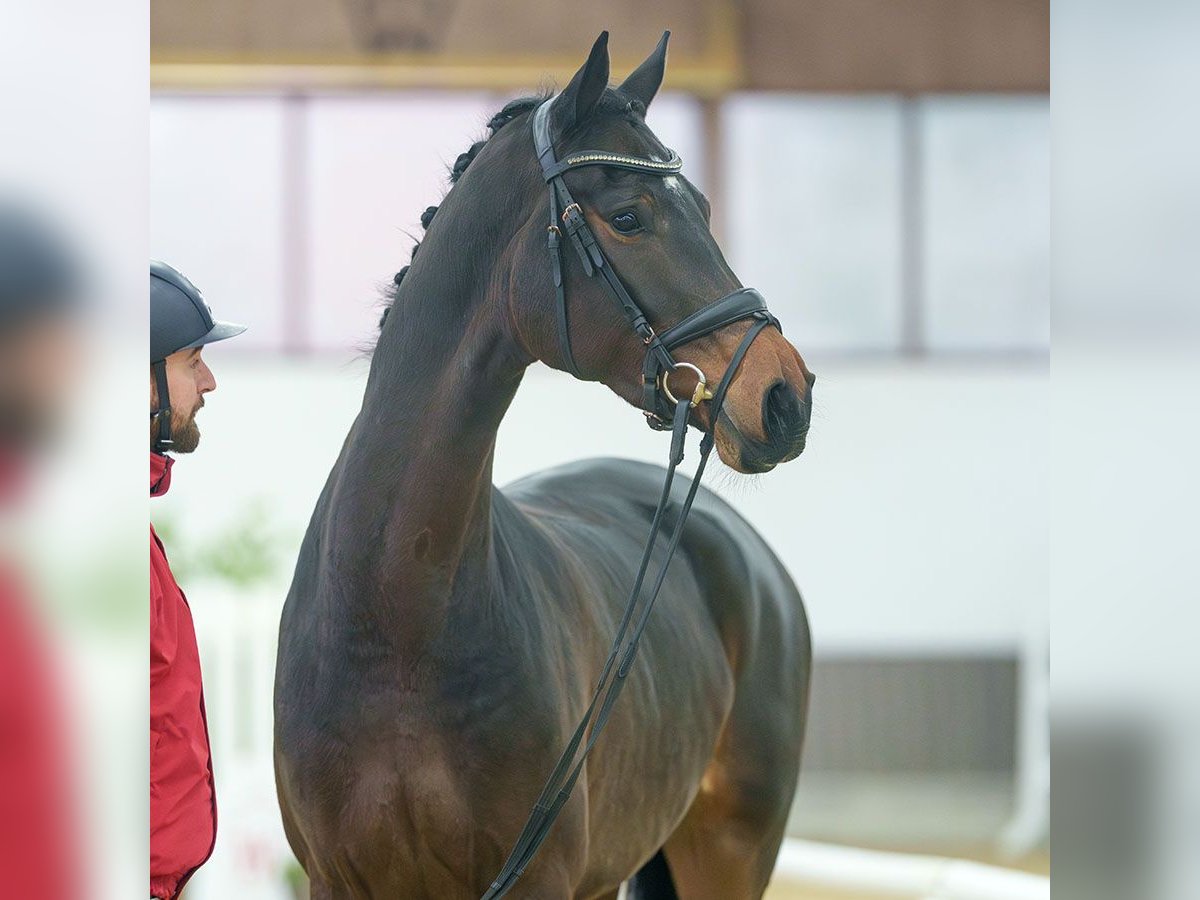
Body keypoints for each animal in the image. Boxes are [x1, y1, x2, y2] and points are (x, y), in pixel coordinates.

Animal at [272, 31, 816, 897]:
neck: (394, 624)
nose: (783, 395)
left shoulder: (539, 877)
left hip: (730, 852)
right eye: (628, 217)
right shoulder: (336, 879)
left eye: (702, 208)